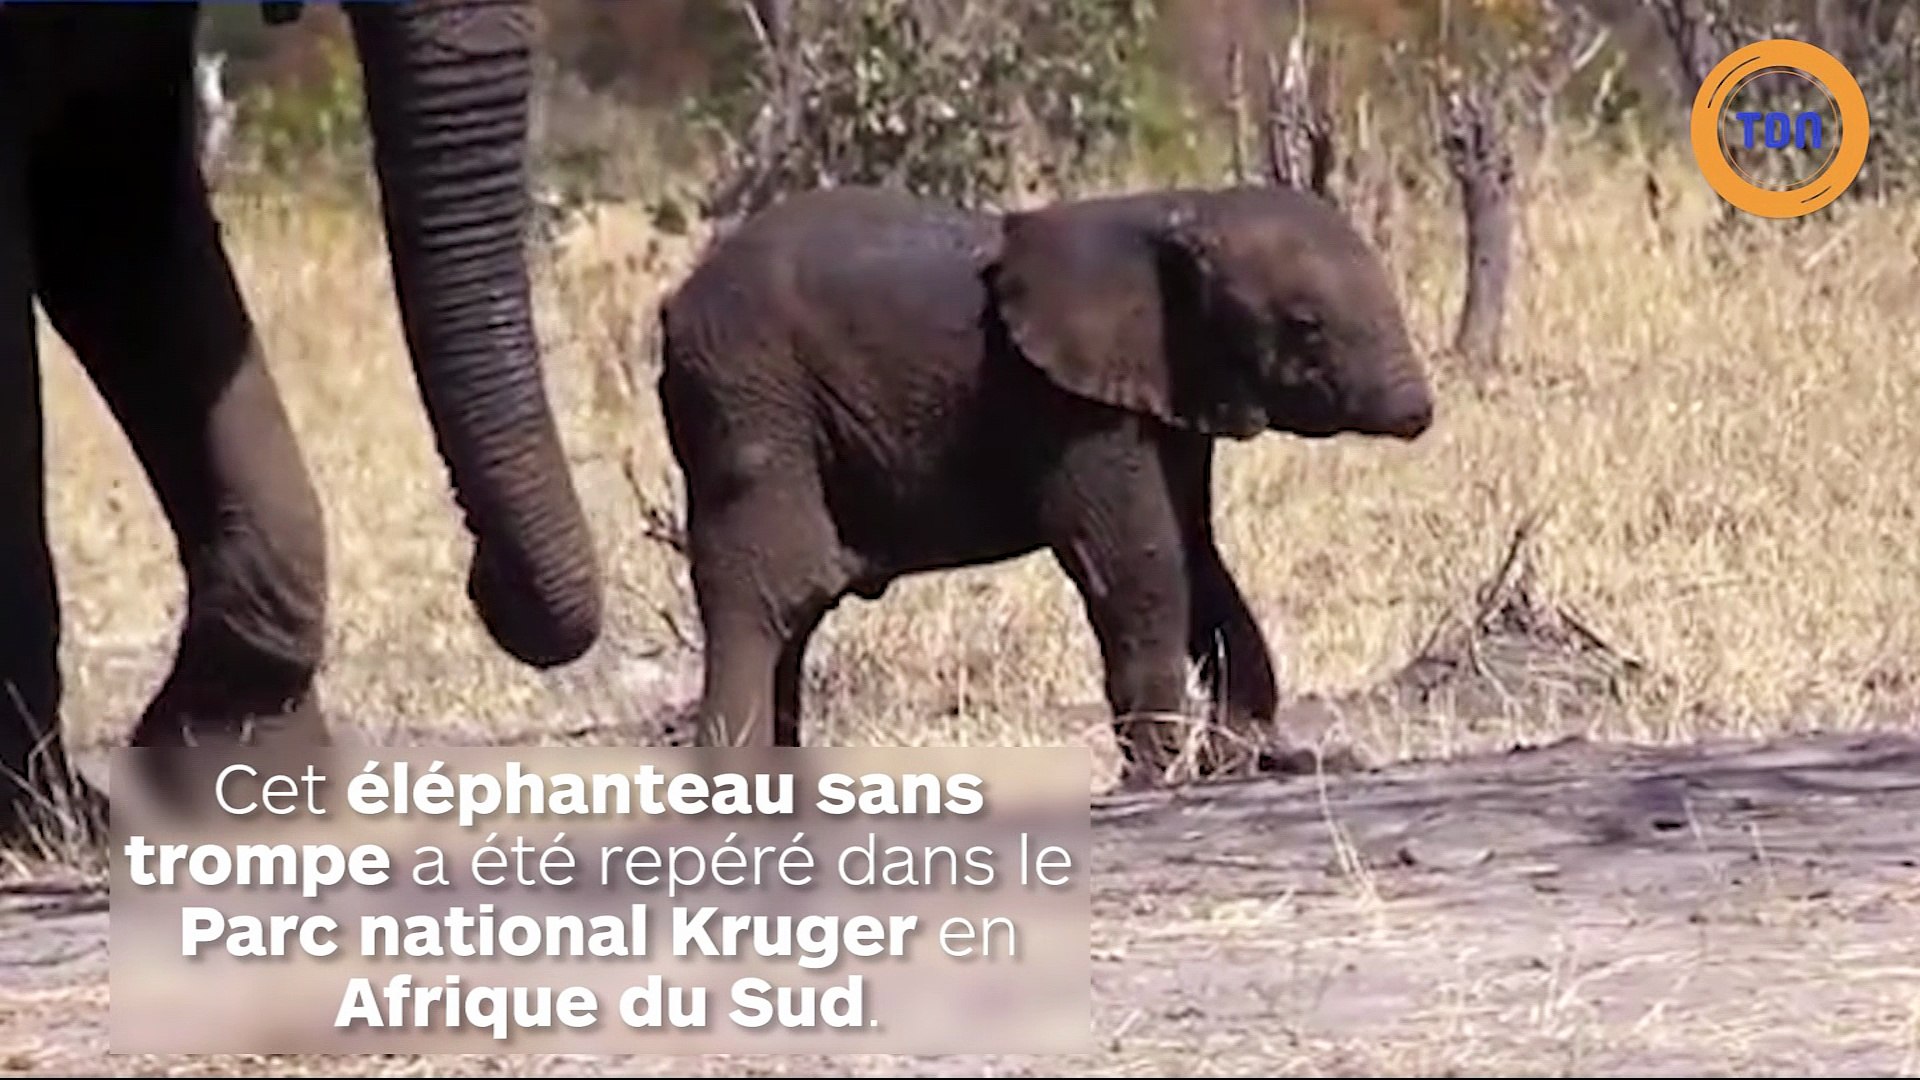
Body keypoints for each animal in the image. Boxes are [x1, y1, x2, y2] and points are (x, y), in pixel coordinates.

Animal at [652, 178, 1436, 780]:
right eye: (1306, 325)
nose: (1418, 413)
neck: (1176, 211)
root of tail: (673, 304)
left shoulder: (1165, 389)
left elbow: (1198, 554)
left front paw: (1249, 760)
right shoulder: (1072, 405)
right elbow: (1138, 561)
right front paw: (1160, 777)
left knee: (795, 605)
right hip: (749, 395)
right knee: (773, 586)